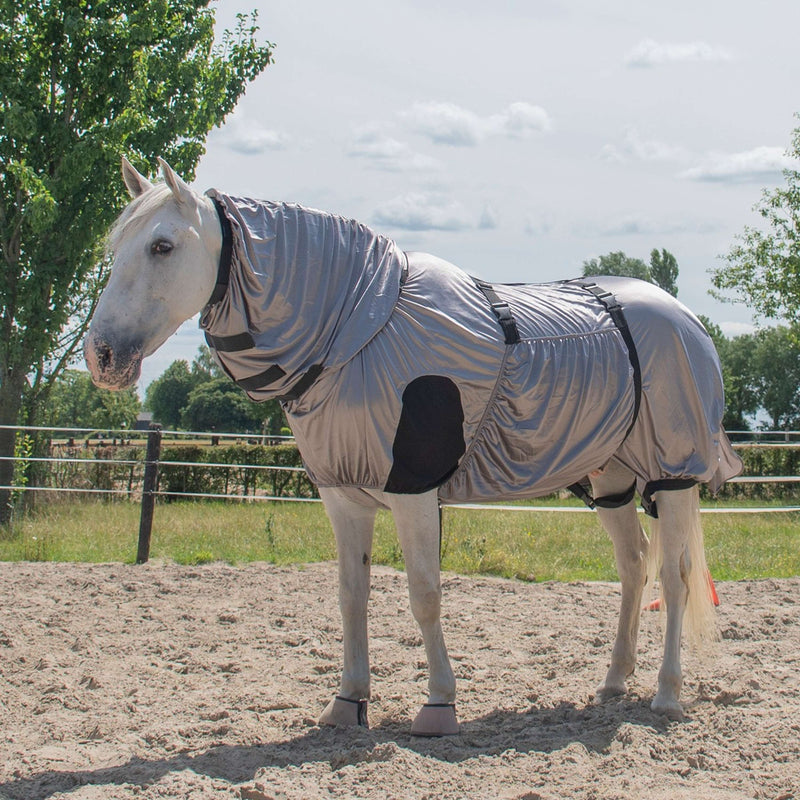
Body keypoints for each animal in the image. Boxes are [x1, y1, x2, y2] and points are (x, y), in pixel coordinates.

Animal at [85, 158, 742, 735]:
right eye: (116, 248)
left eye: (162, 246)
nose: (102, 357)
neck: (358, 331)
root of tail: (684, 319)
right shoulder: (344, 495)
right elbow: (351, 597)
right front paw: (347, 703)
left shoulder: (413, 490)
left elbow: (424, 595)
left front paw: (439, 706)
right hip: (609, 479)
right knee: (633, 567)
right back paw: (612, 682)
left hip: (673, 474)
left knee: (675, 576)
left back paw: (666, 693)